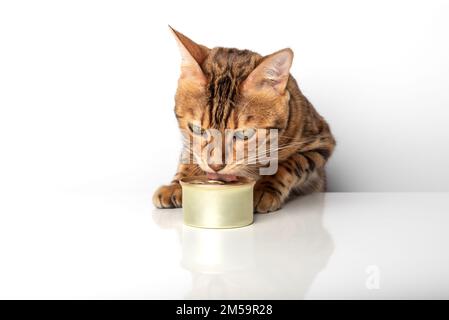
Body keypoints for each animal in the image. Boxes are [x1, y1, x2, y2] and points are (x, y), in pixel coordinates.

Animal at [152, 27, 334, 212]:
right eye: (197, 130)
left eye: (244, 134)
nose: (215, 166)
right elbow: (191, 154)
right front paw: (177, 185)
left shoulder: (321, 143)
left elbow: (289, 164)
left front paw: (264, 188)